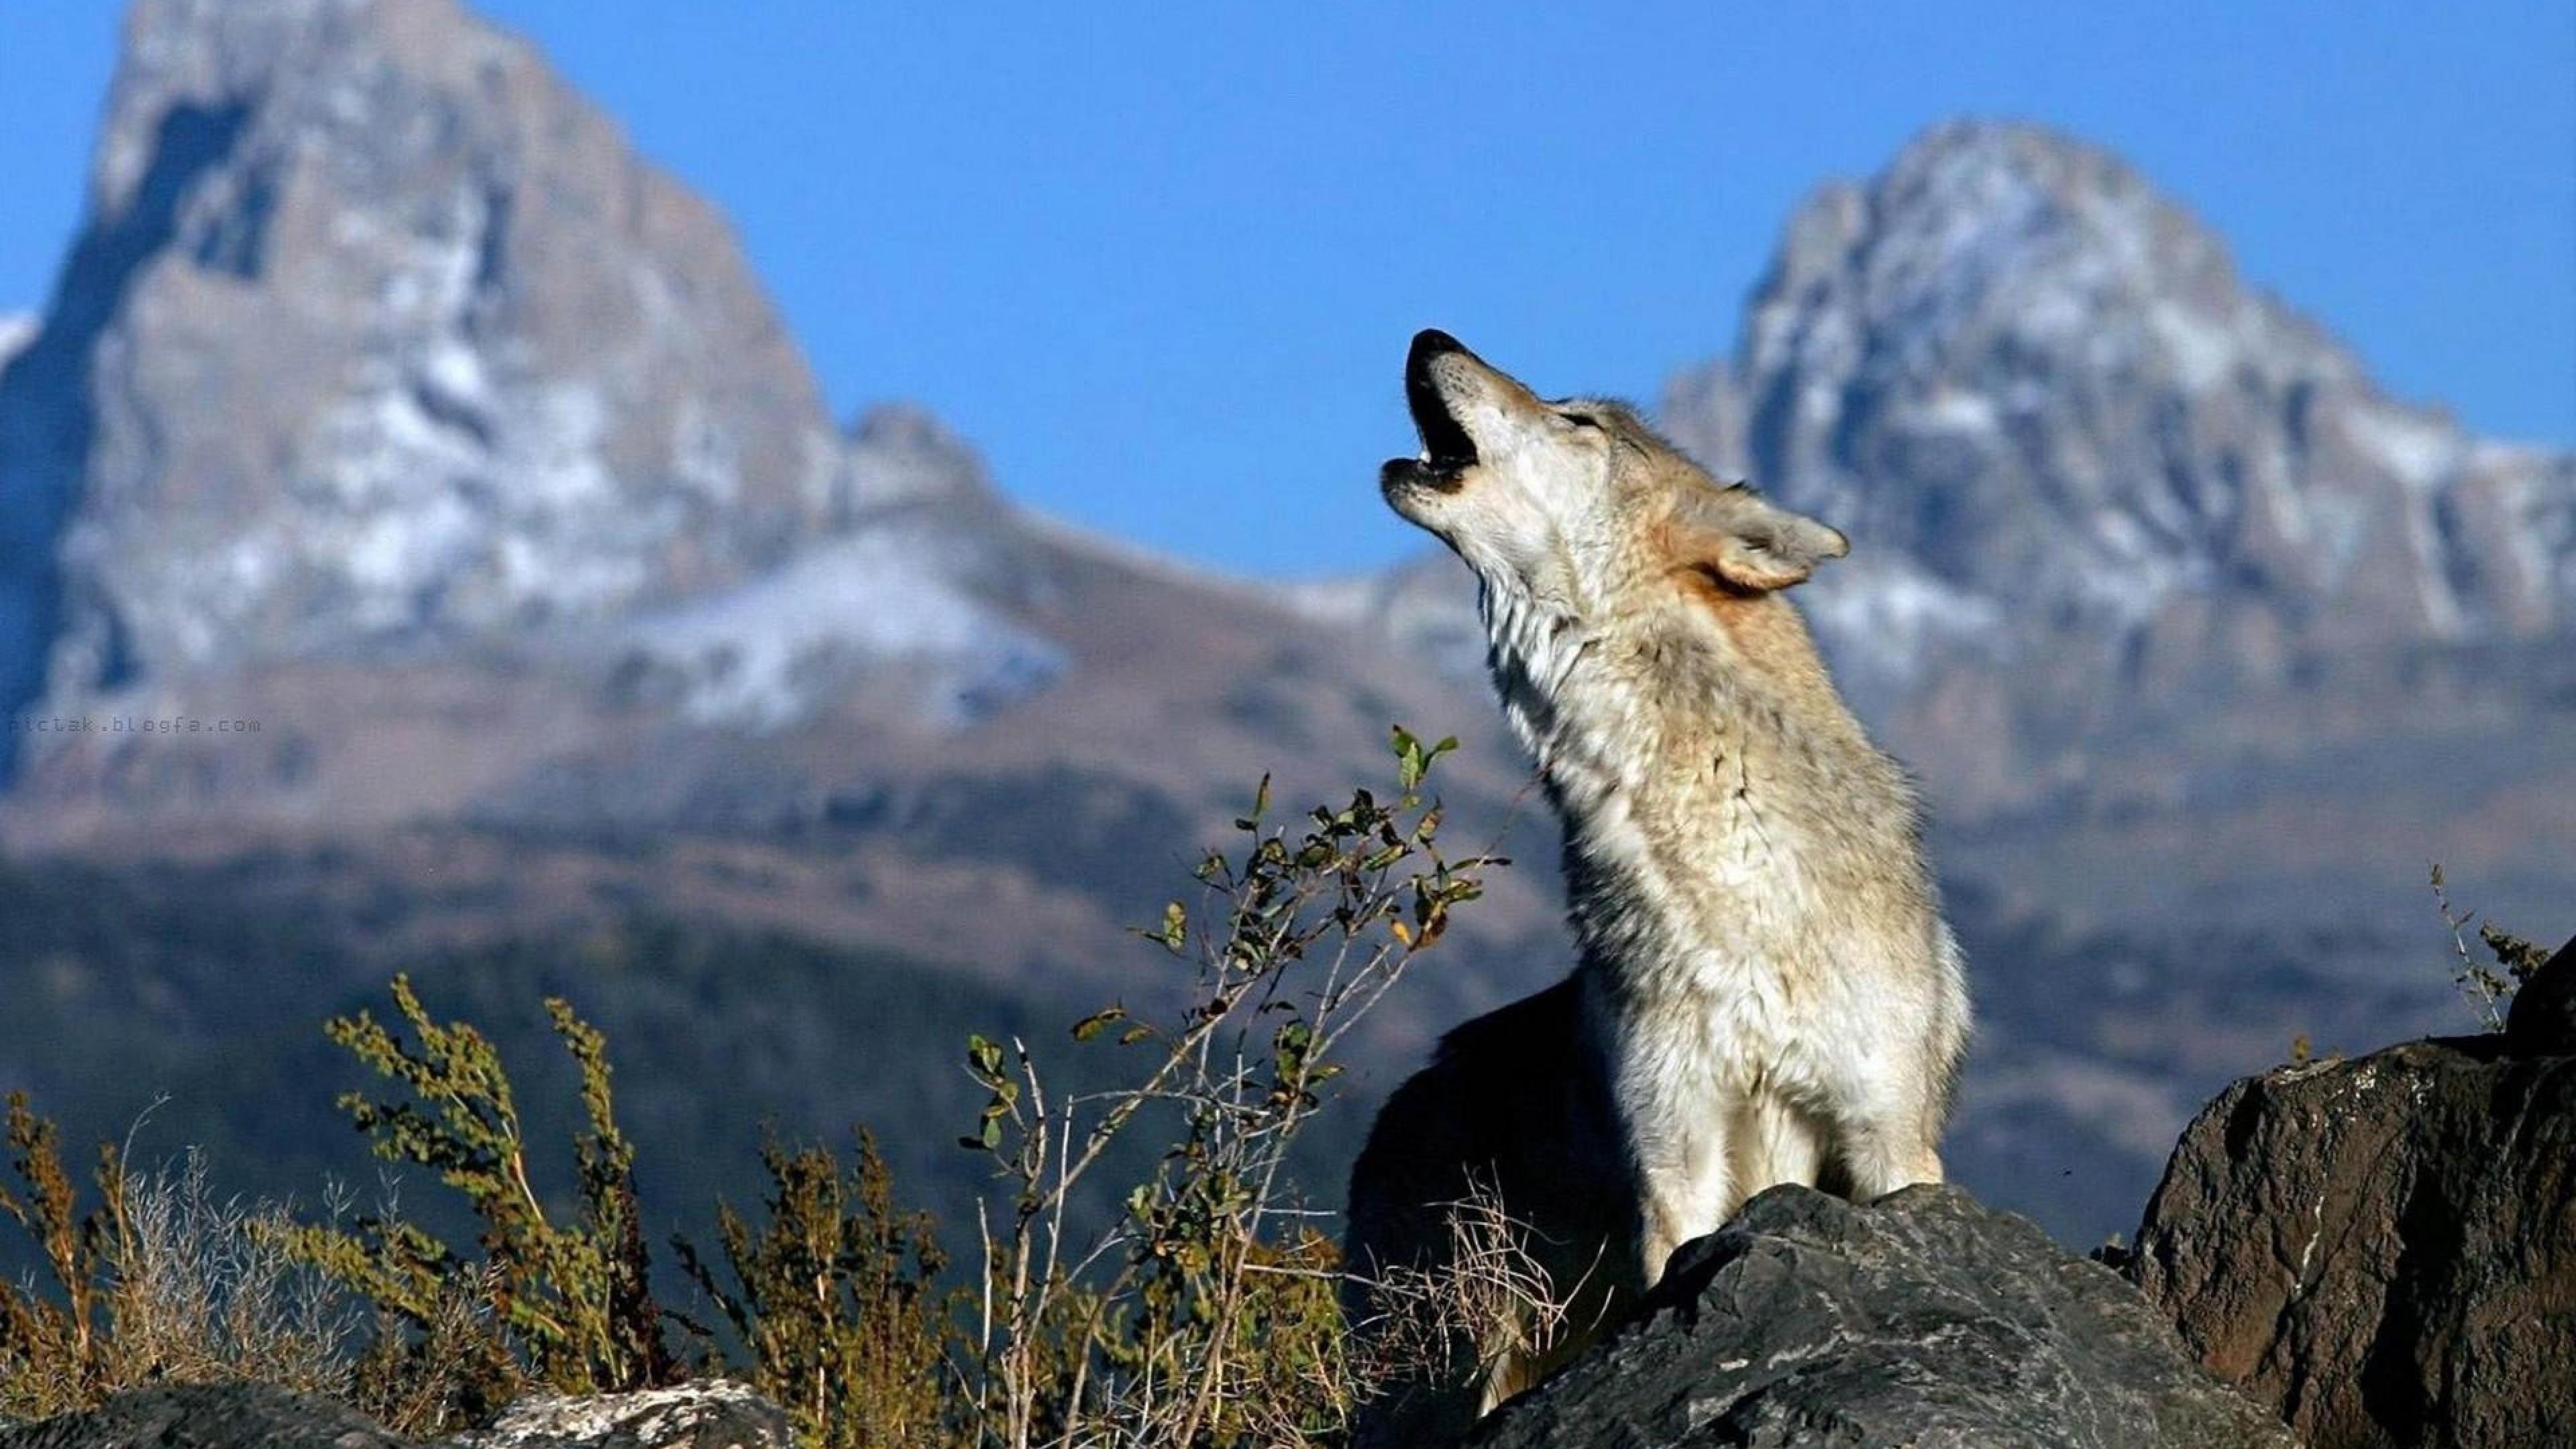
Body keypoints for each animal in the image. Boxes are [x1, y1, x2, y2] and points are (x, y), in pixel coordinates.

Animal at [1342, 330, 1969, 1440]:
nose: (1429, 339)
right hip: (1453, 1357)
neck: (1737, 886)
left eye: (1579, 421)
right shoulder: (1675, 1158)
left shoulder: (1889, 1140)